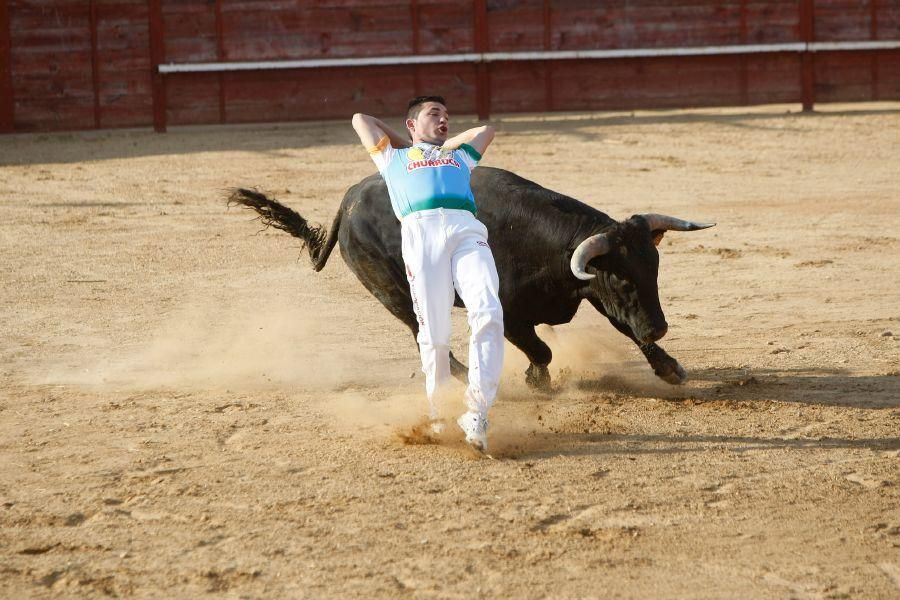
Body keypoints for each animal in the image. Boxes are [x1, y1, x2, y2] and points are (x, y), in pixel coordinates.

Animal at [229, 165, 712, 390]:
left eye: (653, 270)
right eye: (622, 279)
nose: (660, 326)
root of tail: (348, 201)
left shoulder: (592, 291)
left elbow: (626, 327)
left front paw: (669, 368)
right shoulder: (510, 314)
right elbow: (541, 350)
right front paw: (536, 382)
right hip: (394, 292)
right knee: (421, 331)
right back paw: (457, 374)